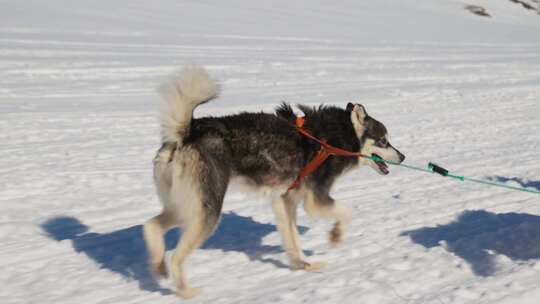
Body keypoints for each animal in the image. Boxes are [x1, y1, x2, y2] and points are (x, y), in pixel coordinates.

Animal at [143, 66, 404, 296]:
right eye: (384, 141)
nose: (402, 156)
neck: (335, 138)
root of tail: (187, 132)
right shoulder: (315, 199)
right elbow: (346, 212)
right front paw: (336, 235)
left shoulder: (285, 200)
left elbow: (293, 238)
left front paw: (303, 264)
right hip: (206, 211)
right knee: (177, 256)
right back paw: (186, 291)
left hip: (185, 206)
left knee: (151, 225)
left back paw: (158, 263)